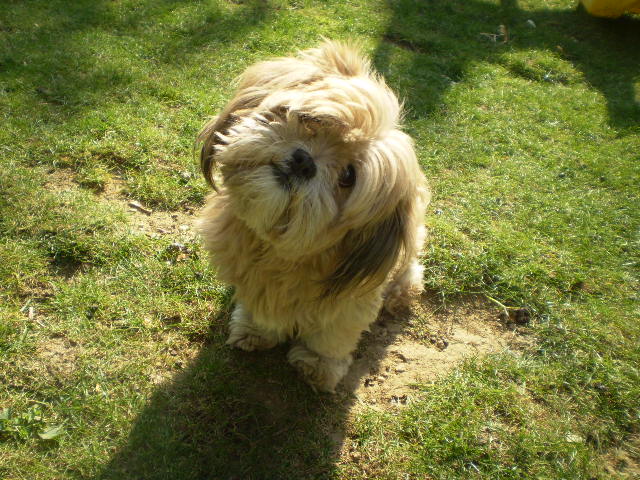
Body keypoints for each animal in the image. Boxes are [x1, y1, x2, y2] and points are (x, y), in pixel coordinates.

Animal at [199, 40, 430, 394]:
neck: (277, 255)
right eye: (309, 120)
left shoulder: (350, 304)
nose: (303, 161)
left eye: (348, 176)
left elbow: (332, 337)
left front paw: (318, 365)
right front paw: (255, 330)